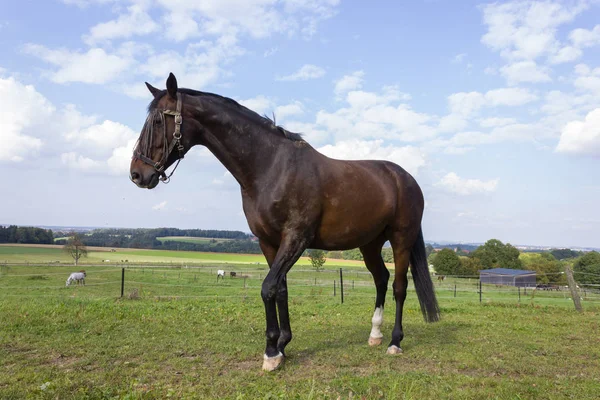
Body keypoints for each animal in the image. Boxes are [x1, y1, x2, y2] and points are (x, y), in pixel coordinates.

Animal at [131, 73, 438, 370]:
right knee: (381, 279)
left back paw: (394, 342)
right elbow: (280, 289)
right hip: (370, 244)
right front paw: (282, 345)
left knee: (399, 286)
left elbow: (268, 288)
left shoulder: (296, 238)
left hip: (401, 240)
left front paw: (271, 352)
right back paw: (375, 335)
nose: (137, 174)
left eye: (158, 120)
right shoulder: (268, 242)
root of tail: (405, 178)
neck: (271, 167)